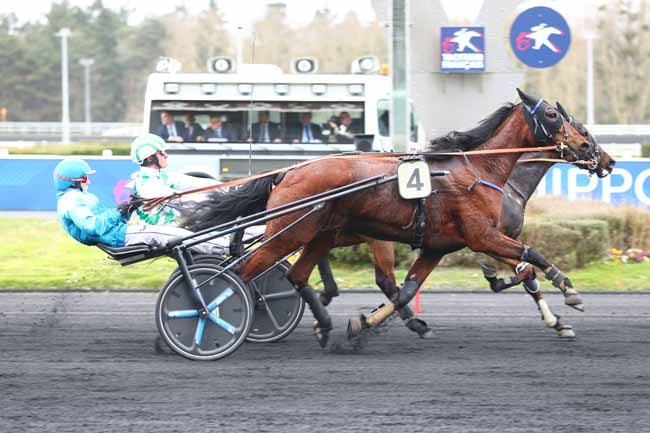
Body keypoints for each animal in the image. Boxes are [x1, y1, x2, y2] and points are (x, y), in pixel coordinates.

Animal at [182, 89, 596, 346]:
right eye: (553, 114)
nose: (591, 149)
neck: (478, 171)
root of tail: (287, 172)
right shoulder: (483, 235)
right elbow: (532, 256)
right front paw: (570, 293)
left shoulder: (439, 246)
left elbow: (409, 290)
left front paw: (365, 323)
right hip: (292, 232)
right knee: (241, 275)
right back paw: (210, 315)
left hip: (319, 233)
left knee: (297, 275)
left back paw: (326, 324)